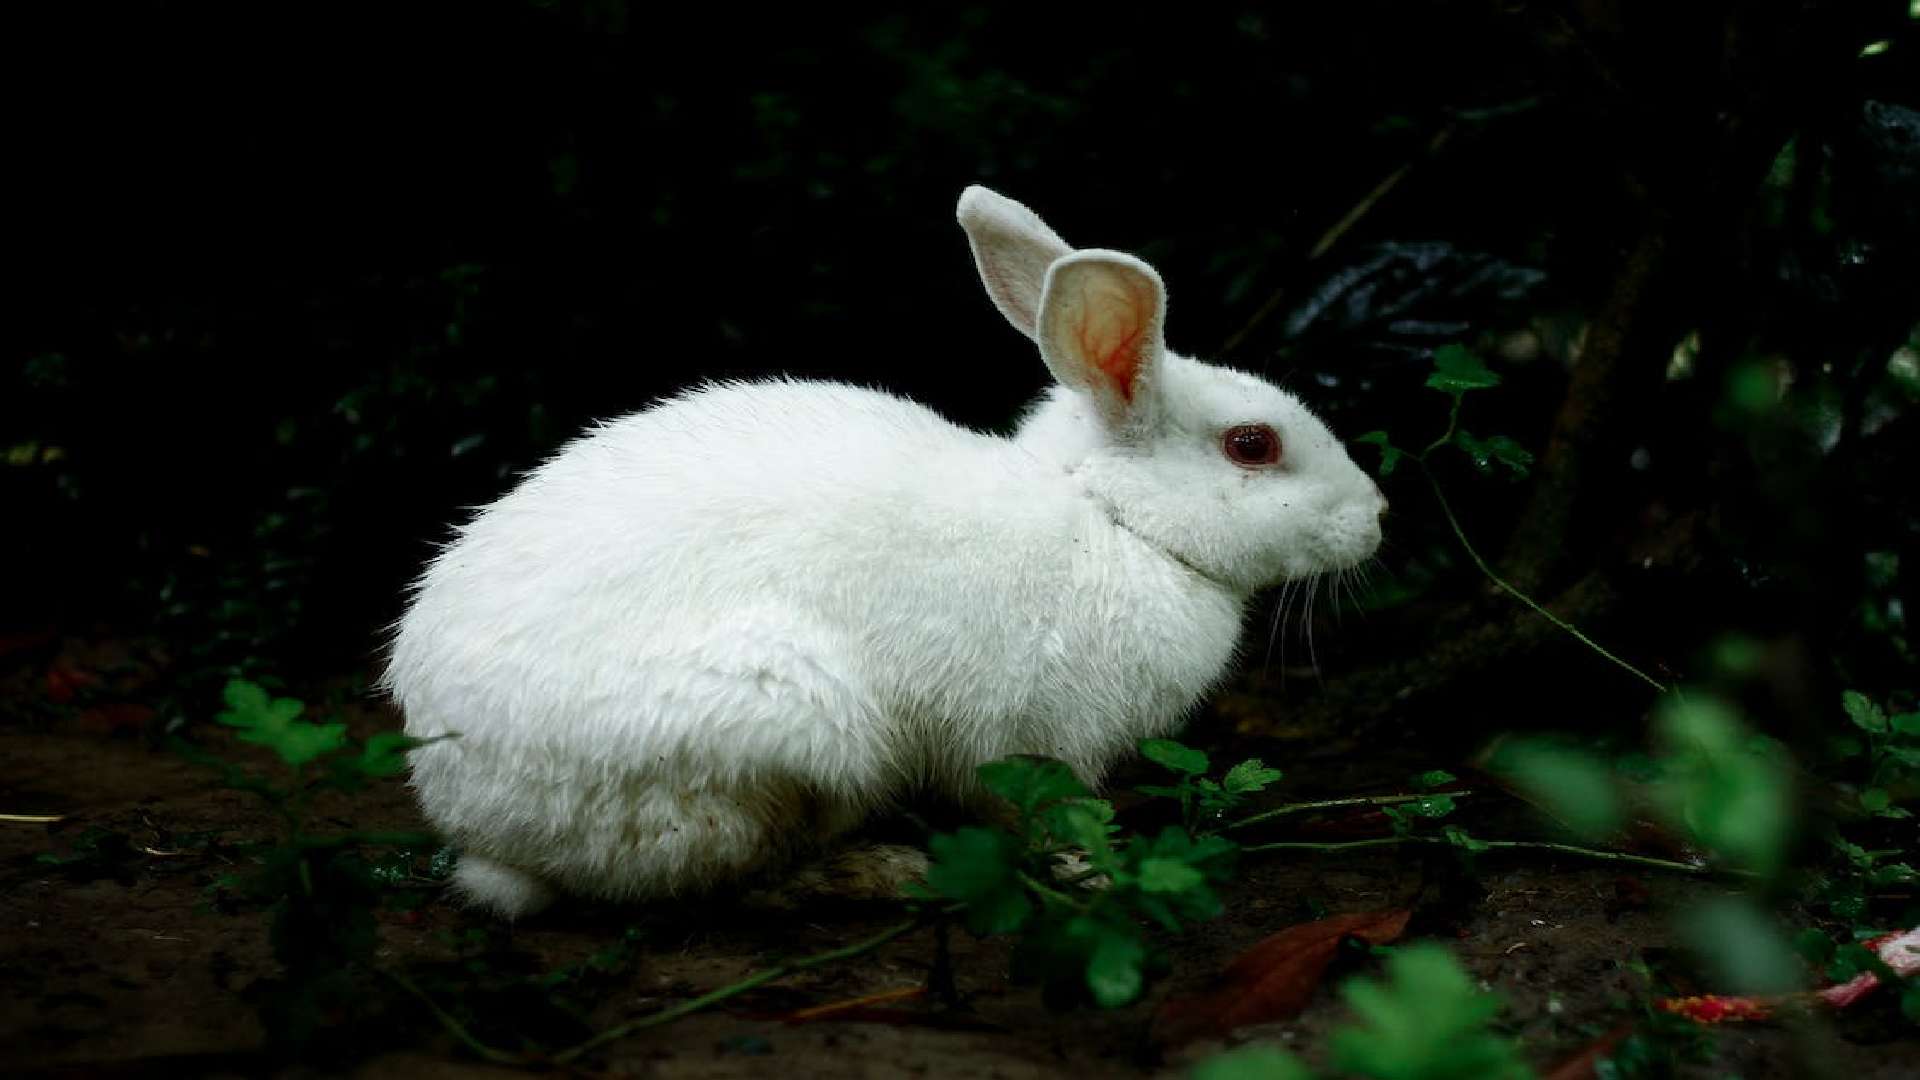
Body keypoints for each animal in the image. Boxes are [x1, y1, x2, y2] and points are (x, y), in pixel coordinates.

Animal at [384, 186, 1388, 918]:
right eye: (1252, 445)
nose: (1378, 516)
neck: (1112, 518)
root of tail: (483, 823)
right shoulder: (1032, 737)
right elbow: (1036, 812)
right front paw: (1093, 870)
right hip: (791, 738)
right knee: (728, 885)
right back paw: (888, 873)